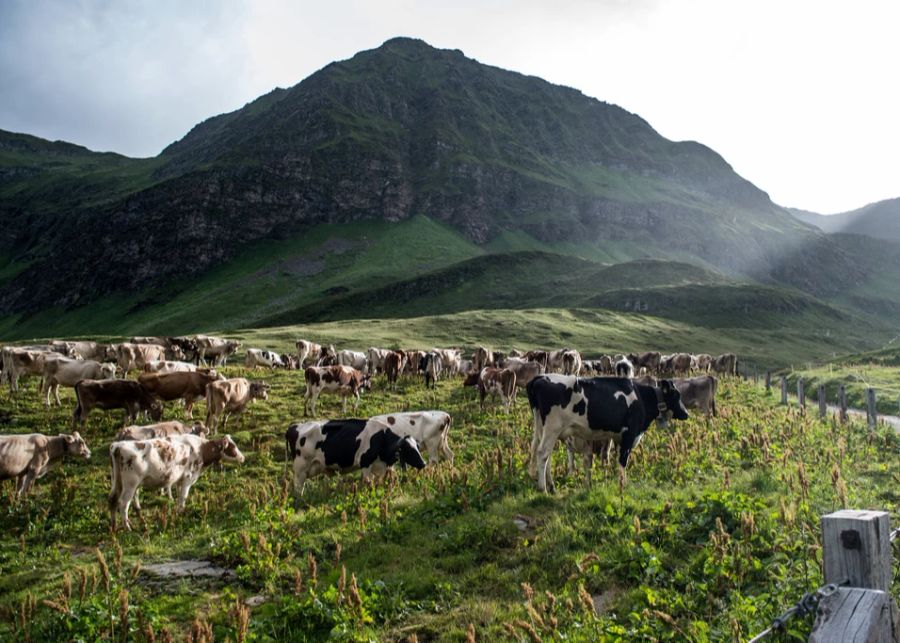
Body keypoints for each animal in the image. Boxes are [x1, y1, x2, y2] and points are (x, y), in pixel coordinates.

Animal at [107, 432, 244, 532]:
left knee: (113, 501)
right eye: (233, 447)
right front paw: (181, 512)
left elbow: (179, 497)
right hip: (130, 485)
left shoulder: (180, 480)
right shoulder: (188, 477)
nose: (243, 457)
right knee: (123, 504)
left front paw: (179, 511)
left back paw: (114, 526)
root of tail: (118, 445)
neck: (200, 449)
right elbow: (183, 497)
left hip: (117, 482)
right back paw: (127, 527)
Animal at [288, 420, 428, 496]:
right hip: (300, 468)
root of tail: (294, 426)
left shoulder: (379, 467)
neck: (381, 438)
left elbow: (377, 482)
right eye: (408, 450)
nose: (423, 463)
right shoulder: (365, 463)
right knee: (298, 487)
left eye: (417, 447)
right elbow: (368, 483)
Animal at [528, 372, 688, 494]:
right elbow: (623, 461)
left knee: (544, 454)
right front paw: (622, 487)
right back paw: (543, 489)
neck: (642, 399)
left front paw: (615, 481)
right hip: (553, 427)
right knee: (542, 453)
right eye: (677, 395)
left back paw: (551, 486)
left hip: (543, 427)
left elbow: (614, 459)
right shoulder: (629, 435)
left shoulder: (617, 438)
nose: (686, 414)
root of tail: (540, 377)